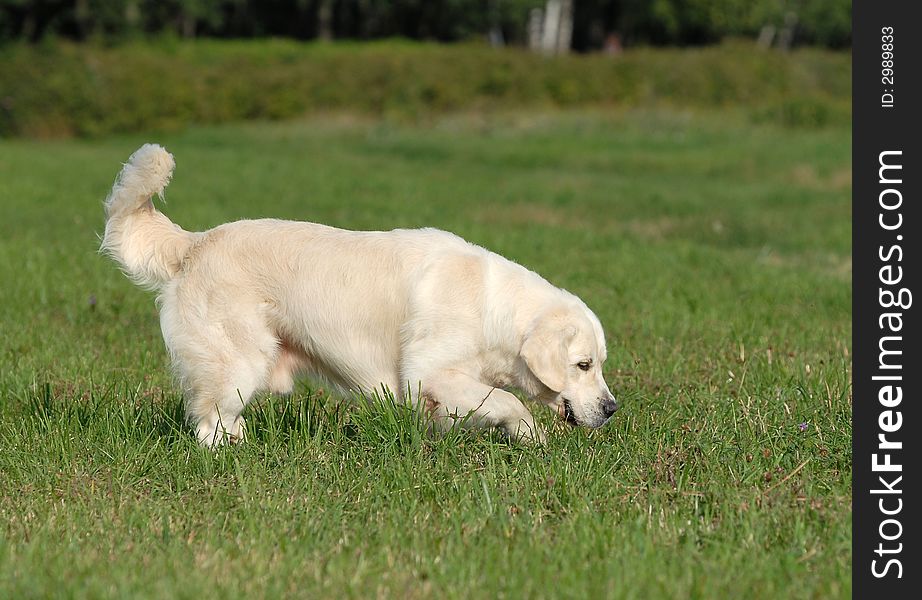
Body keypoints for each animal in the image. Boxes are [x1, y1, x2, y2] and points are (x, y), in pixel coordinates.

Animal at [100, 145, 620, 446]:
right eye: (582, 365)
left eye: (598, 363)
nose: (612, 408)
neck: (492, 305)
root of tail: (195, 242)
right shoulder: (429, 373)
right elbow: (509, 401)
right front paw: (531, 436)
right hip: (239, 362)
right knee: (210, 421)